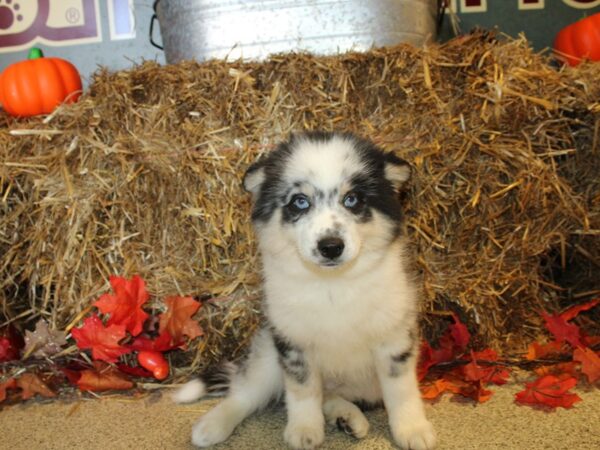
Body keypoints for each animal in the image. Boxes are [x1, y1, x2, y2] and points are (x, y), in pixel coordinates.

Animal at [173, 131, 436, 450]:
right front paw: (304, 429)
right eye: (300, 202)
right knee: (246, 392)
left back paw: (347, 417)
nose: (331, 246)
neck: (333, 285)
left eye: (352, 199)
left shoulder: (395, 337)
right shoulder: (293, 342)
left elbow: (401, 390)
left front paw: (411, 428)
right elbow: (303, 390)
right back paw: (212, 424)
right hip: (267, 353)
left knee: (331, 395)